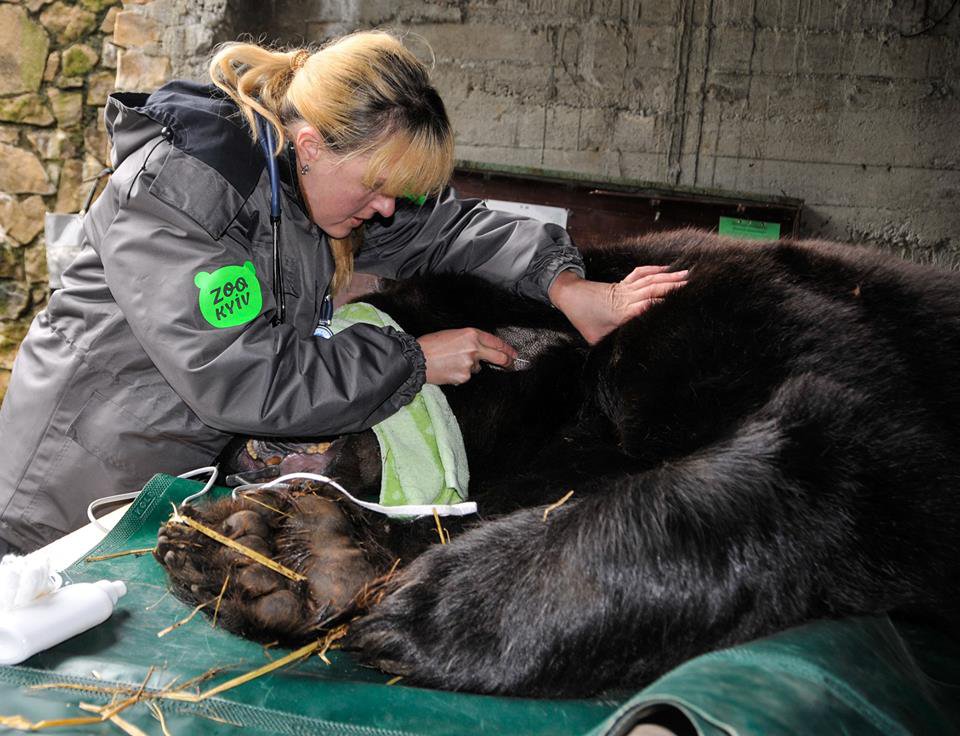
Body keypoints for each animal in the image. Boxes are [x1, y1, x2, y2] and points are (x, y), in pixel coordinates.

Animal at [154, 229, 956, 696]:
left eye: (344, 324)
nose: (229, 418)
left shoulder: (742, 315)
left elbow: (830, 448)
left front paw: (435, 610)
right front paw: (279, 551)